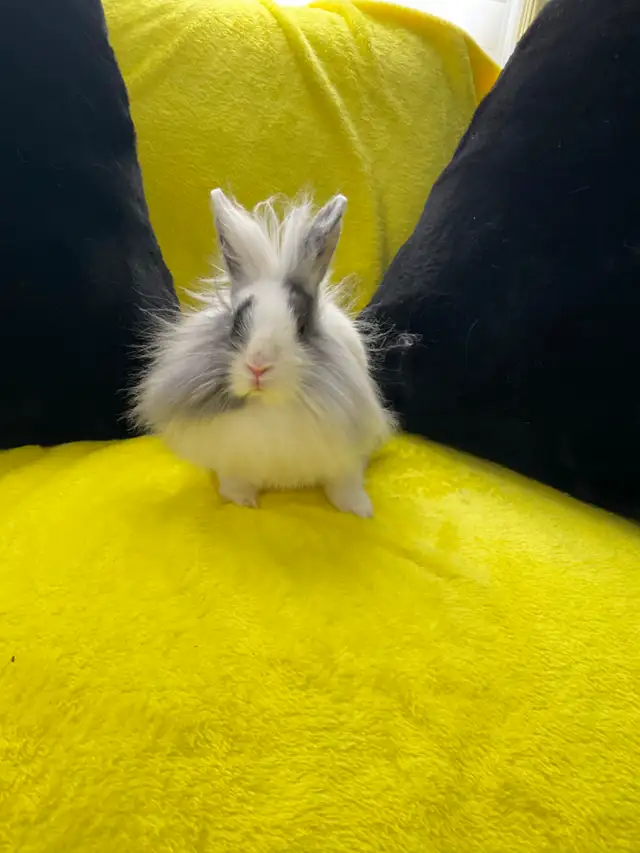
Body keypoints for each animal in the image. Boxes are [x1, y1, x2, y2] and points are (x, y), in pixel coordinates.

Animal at [133, 190, 395, 516]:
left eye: (302, 326)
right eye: (236, 323)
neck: (269, 407)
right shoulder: (233, 460)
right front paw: (243, 502)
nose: (258, 366)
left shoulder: (346, 456)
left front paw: (360, 510)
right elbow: (235, 483)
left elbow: (345, 483)